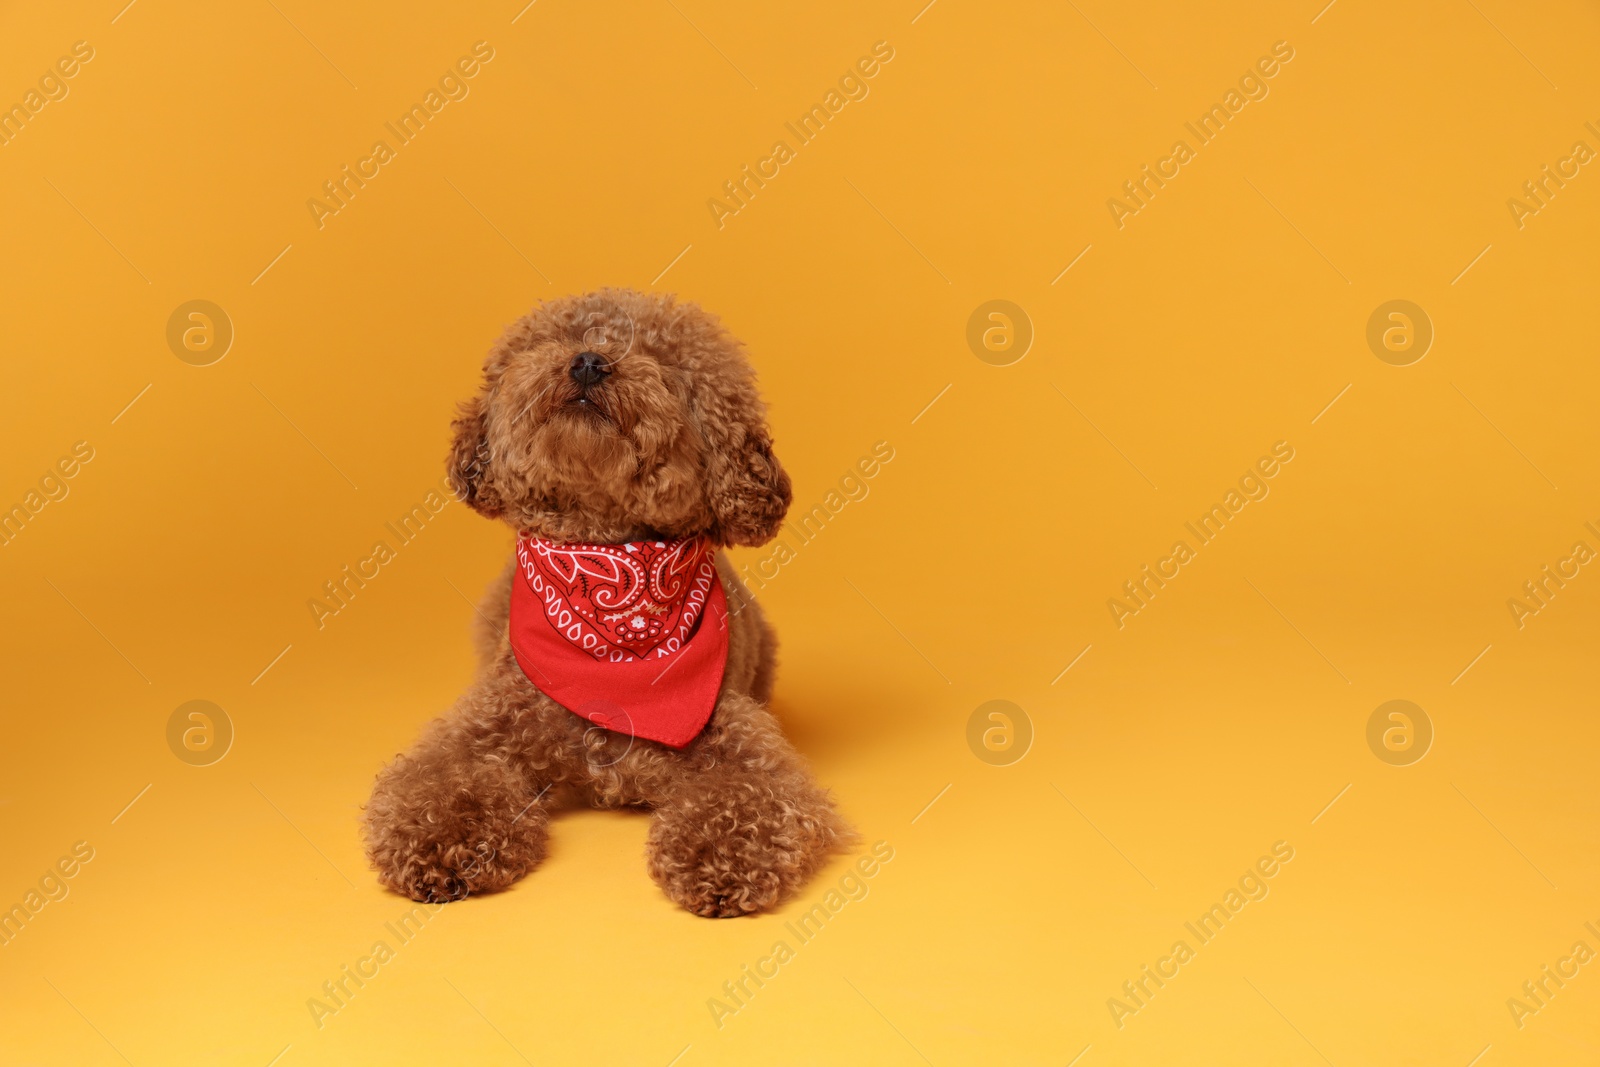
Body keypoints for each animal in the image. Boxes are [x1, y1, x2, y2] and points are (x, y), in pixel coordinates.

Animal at [361, 286, 851, 921]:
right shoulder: (476, 732)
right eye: (560, 339)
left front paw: (721, 860)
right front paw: (443, 842)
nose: (589, 362)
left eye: (662, 363)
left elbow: (749, 797)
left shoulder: (742, 747)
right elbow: (437, 782)